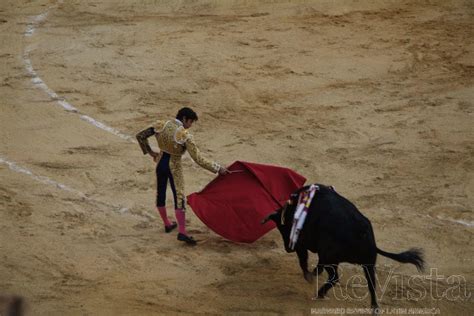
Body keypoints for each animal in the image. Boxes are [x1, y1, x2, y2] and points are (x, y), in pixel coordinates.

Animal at [262, 184, 424, 310]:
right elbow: (317, 264)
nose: (288, 248)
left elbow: (303, 260)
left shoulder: (302, 244)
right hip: (368, 263)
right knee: (371, 284)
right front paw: (314, 273)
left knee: (334, 277)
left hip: (331, 258)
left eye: (282, 228)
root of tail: (363, 233)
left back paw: (320, 293)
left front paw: (309, 276)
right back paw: (374, 307)